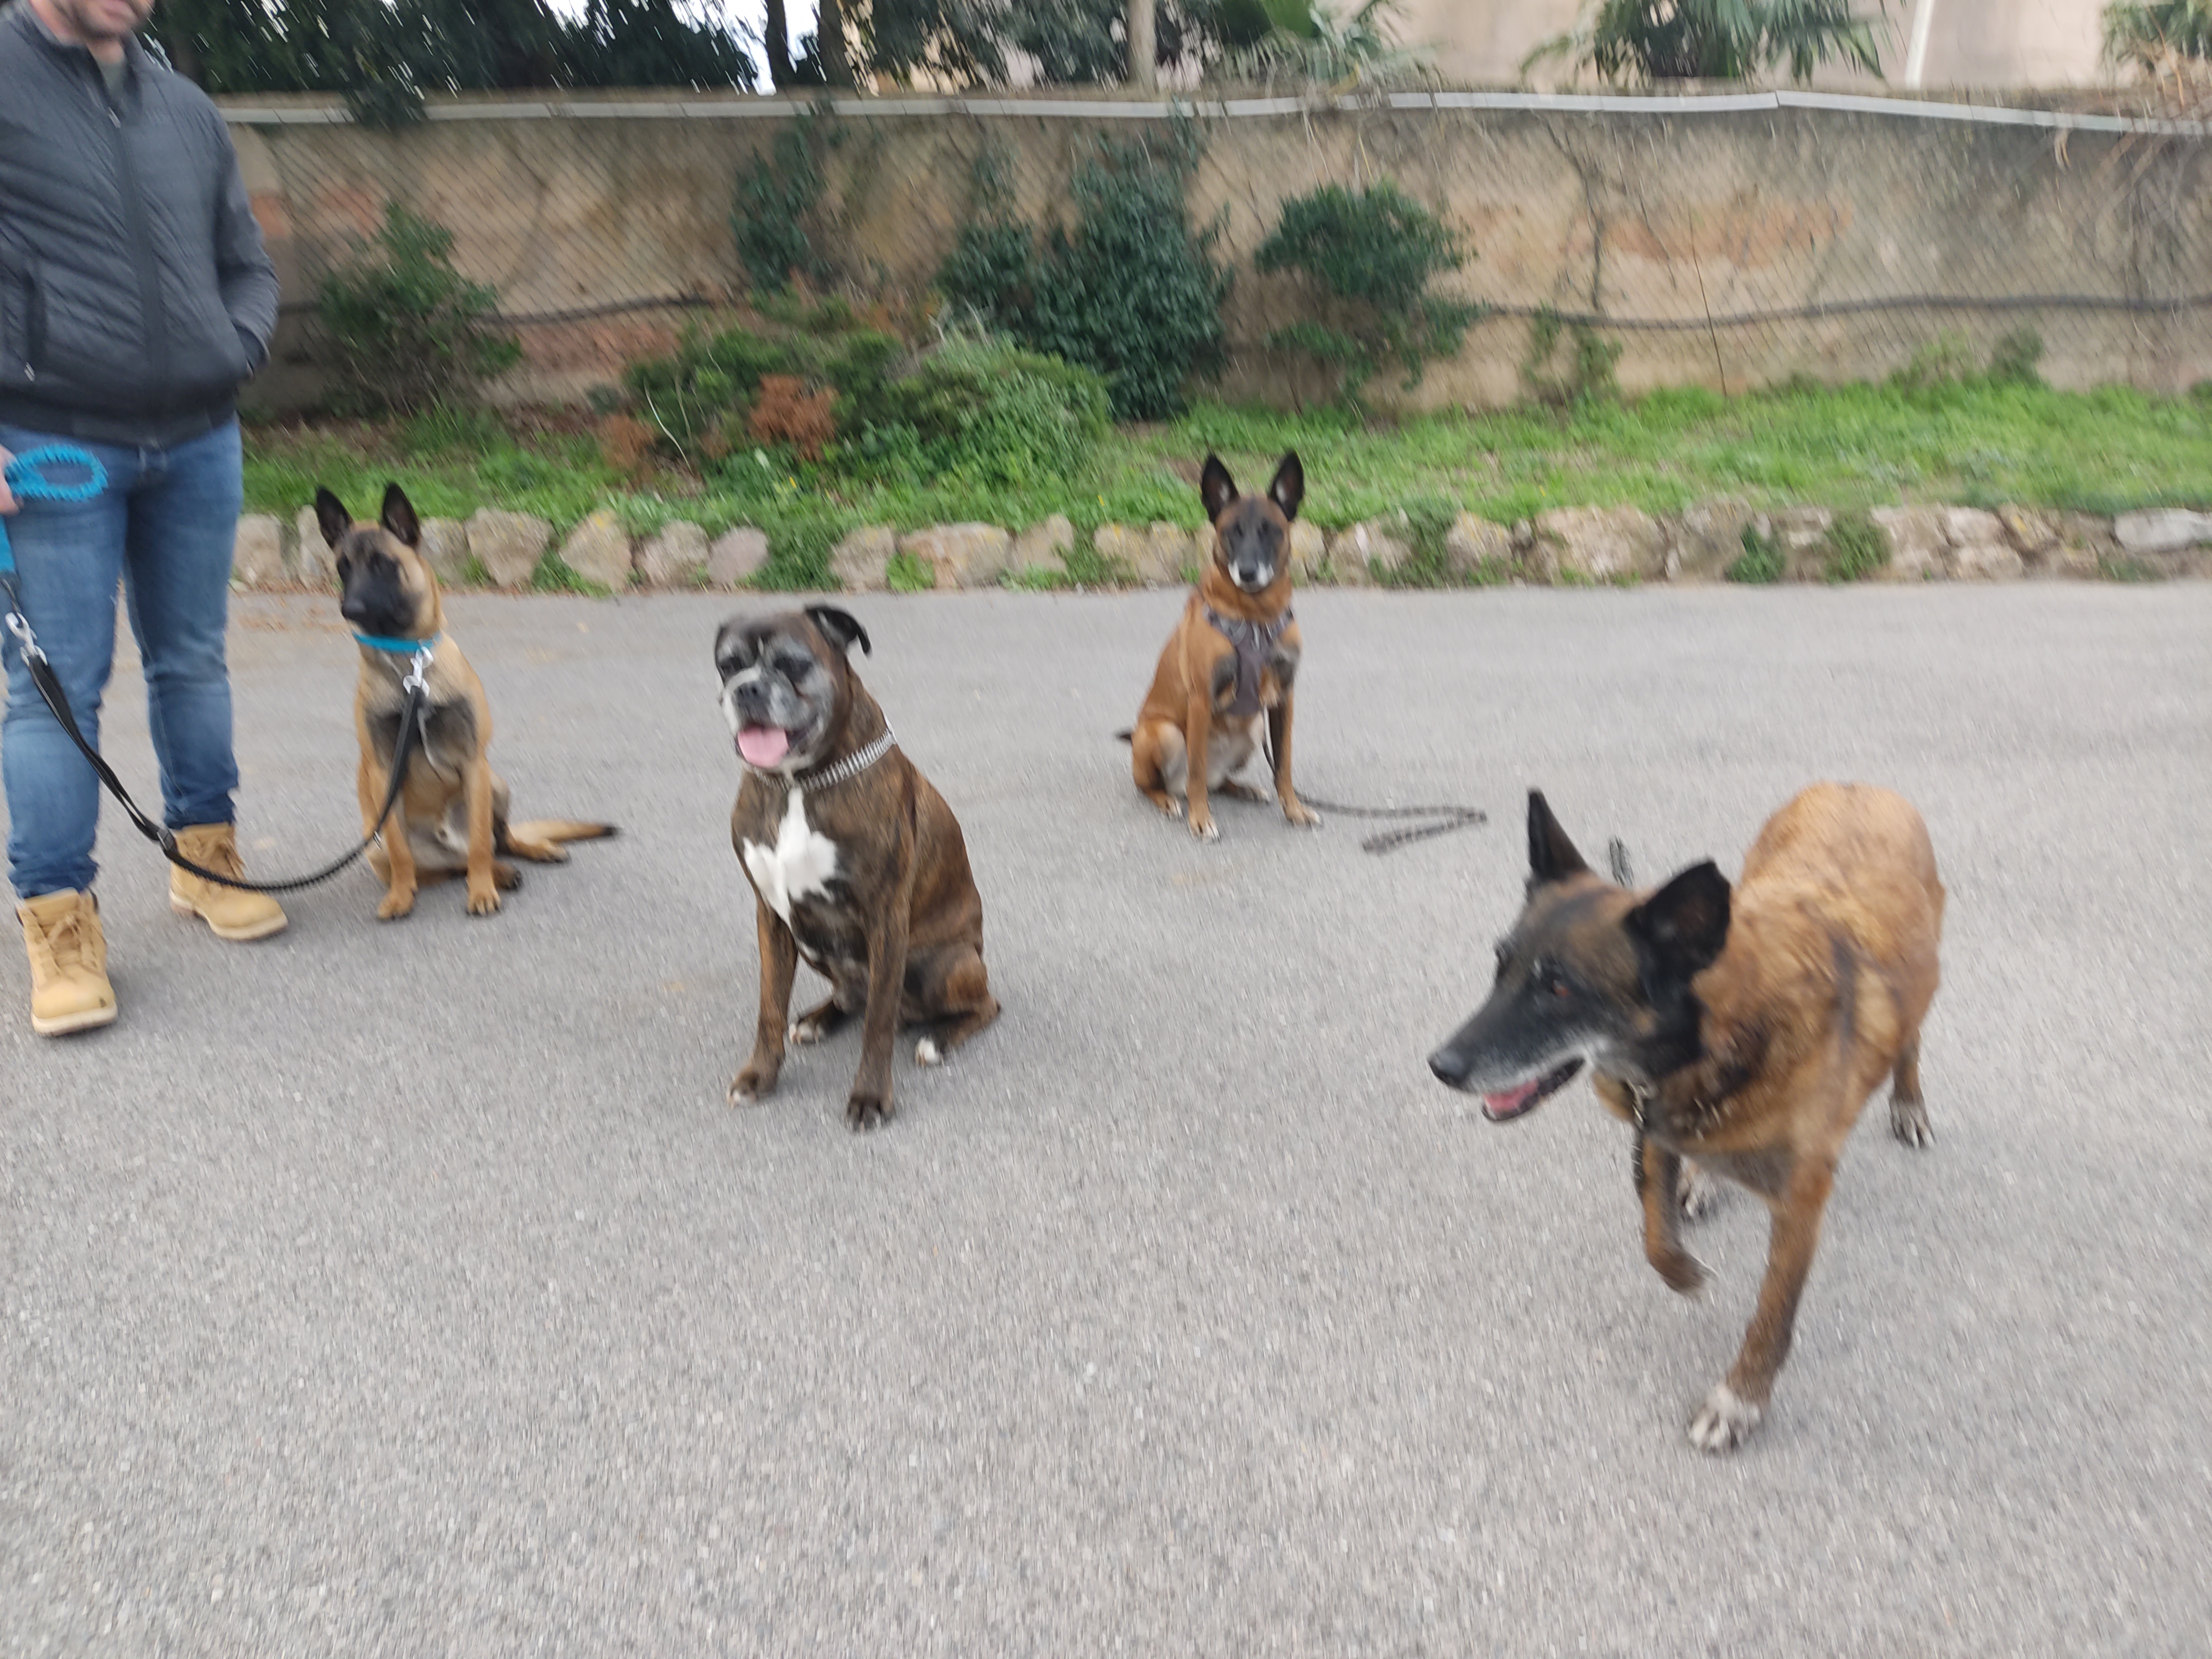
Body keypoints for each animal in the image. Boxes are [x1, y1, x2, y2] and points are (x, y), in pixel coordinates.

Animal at [315, 484, 614, 920]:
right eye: (343, 568)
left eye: (384, 564)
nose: (349, 608)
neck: (410, 666)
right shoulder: (384, 775)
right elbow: (404, 853)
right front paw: (400, 897)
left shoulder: (475, 763)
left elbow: (478, 844)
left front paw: (482, 892)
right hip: (377, 844)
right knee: (445, 866)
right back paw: (493, 873)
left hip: (496, 784)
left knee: (494, 841)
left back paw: (524, 856)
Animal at [716, 606, 998, 1130]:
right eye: (728, 665)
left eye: (792, 663)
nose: (748, 689)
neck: (798, 784)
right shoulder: (771, 916)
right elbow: (769, 1008)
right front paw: (761, 1076)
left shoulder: (886, 918)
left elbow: (878, 1026)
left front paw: (870, 1096)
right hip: (810, 942)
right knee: (851, 996)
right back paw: (818, 1018)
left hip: (936, 963)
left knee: (980, 1005)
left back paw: (937, 1040)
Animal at [1127, 452, 1318, 841]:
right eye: (1233, 531)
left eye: (1270, 530)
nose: (1247, 572)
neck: (1255, 616)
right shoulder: (1201, 700)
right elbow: (1198, 771)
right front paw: (1200, 819)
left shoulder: (1284, 699)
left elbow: (1284, 764)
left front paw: (1293, 810)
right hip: (1166, 734)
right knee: (1163, 784)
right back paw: (1169, 801)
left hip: (1253, 730)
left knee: (1218, 781)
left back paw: (1244, 789)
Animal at [1428, 785, 1944, 1452]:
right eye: (1501, 966)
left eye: (1561, 990)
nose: (1441, 1066)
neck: (1723, 1038)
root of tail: (1857, 786)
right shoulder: (1653, 1129)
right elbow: (1654, 1235)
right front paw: (1686, 1273)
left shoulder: (1799, 1206)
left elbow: (1771, 1317)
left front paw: (1740, 1401)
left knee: (1911, 1037)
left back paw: (1908, 1101)